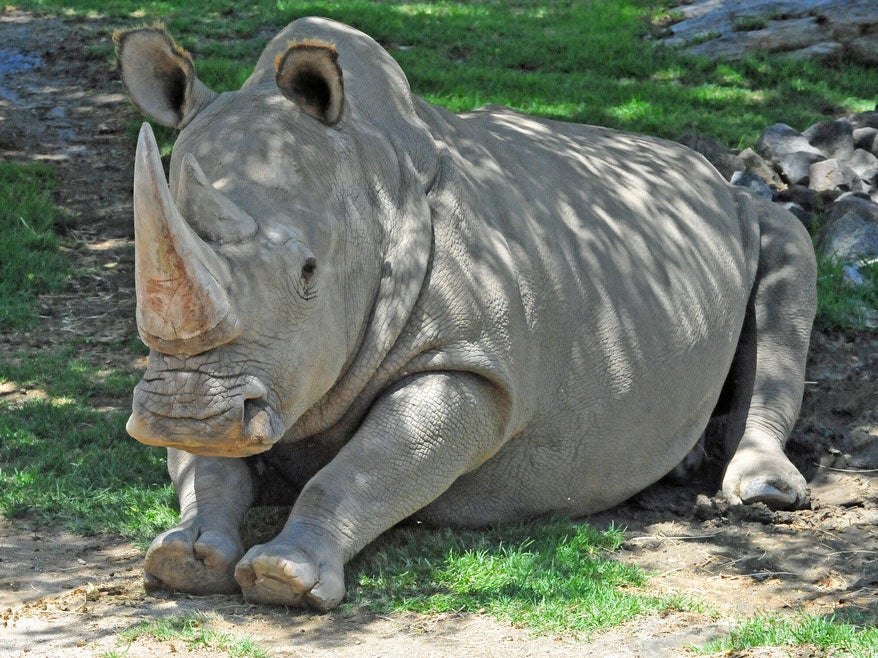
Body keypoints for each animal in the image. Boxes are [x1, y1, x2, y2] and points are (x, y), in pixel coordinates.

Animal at [115, 16, 820, 608]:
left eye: (309, 273)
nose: (184, 411)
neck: (366, 186)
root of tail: (697, 161)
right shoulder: (223, 369)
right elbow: (209, 468)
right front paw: (183, 559)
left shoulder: (473, 367)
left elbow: (368, 466)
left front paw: (283, 578)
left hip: (744, 212)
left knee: (789, 251)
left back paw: (760, 493)